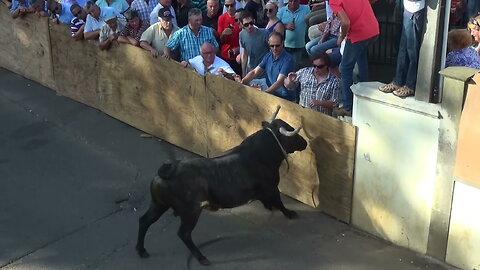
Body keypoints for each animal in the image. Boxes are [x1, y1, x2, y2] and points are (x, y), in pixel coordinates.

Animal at [135, 106, 308, 266]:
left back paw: (141, 250)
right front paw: (290, 213)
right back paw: (202, 258)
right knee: (183, 234)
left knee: (144, 220)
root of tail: (170, 169)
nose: (305, 143)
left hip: (158, 204)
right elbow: (279, 202)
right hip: (191, 212)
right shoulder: (272, 187)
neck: (261, 152)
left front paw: (269, 207)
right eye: (291, 132)